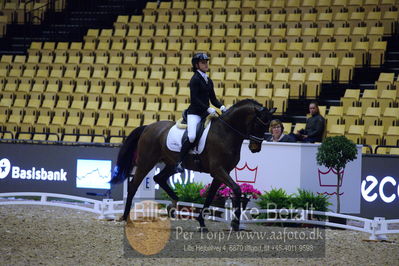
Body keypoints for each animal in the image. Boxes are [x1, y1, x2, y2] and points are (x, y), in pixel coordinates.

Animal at [111, 100, 276, 231]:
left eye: (268, 125)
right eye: (258, 124)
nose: (255, 148)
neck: (226, 132)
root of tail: (148, 127)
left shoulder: (220, 173)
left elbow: (210, 197)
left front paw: (202, 222)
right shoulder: (218, 170)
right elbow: (236, 189)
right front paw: (235, 223)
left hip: (171, 164)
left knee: (159, 178)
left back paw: (173, 204)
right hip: (146, 162)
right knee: (134, 185)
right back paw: (125, 218)